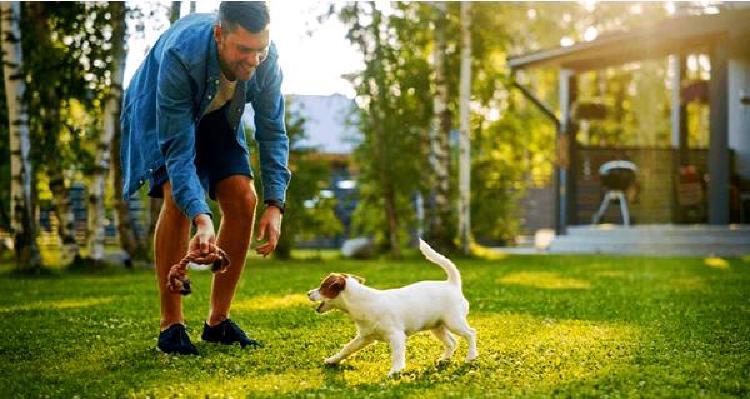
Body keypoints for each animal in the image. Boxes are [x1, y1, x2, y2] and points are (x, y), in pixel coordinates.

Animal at [308, 239, 478, 376]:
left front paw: (395, 371)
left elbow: (397, 355)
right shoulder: (364, 338)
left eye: (323, 287)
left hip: (454, 322)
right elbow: (347, 349)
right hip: (437, 326)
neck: (363, 301)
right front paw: (332, 360)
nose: (308, 293)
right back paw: (444, 359)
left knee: (471, 333)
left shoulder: (396, 336)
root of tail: (452, 284)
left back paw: (470, 357)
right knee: (452, 342)